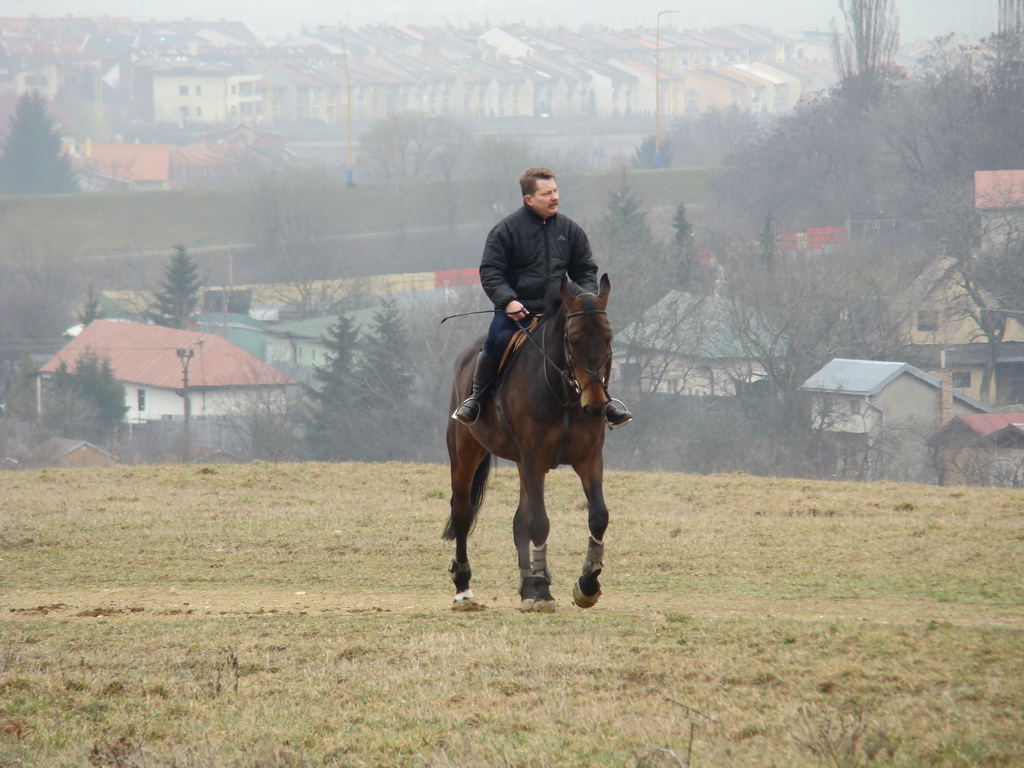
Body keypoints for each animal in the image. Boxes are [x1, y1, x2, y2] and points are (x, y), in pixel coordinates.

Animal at [442, 274, 614, 610]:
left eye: (608, 338)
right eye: (572, 340)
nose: (596, 405)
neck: (564, 392)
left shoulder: (589, 458)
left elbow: (598, 516)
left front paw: (586, 584)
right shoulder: (534, 459)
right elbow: (540, 523)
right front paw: (543, 592)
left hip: (521, 463)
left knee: (518, 521)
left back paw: (528, 585)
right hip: (465, 452)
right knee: (463, 513)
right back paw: (464, 587)